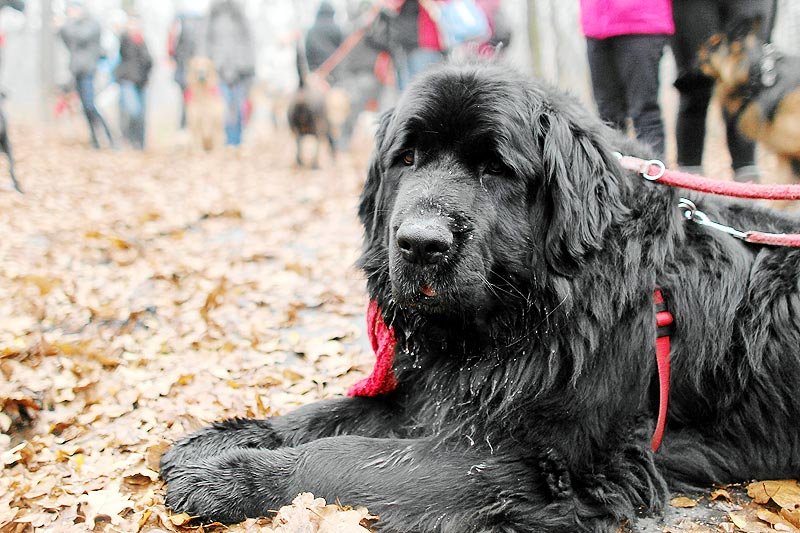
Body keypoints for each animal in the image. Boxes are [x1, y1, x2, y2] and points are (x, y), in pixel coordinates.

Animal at [158, 64, 800, 528]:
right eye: (407, 158)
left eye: (495, 169)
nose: (421, 243)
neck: (526, 315)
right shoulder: (436, 392)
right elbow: (327, 414)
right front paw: (221, 440)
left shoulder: (531, 458)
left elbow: (339, 457)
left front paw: (232, 479)